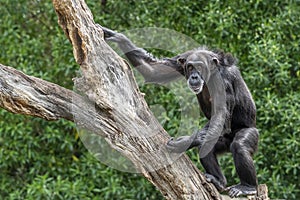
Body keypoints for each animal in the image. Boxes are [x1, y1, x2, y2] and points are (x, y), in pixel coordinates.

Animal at [101, 25, 260, 198]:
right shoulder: (180, 62)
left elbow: (220, 114)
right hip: (222, 141)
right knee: (207, 145)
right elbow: (155, 70)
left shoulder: (224, 81)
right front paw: (118, 36)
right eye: (190, 67)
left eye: (200, 66)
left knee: (239, 146)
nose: (195, 76)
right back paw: (218, 181)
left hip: (252, 132)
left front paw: (182, 142)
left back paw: (247, 187)